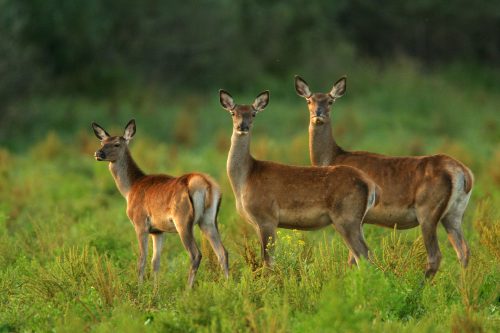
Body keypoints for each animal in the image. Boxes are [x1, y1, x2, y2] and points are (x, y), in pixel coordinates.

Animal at [92, 120, 229, 288]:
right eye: (102, 142)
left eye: (117, 144)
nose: (98, 153)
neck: (130, 189)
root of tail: (206, 184)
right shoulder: (158, 231)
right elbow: (155, 261)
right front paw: (154, 289)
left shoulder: (140, 223)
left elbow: (142, 259)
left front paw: (140, 287)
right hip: (209, 220)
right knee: (222, 252)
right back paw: (229, 285)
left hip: (183, 220)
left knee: (195, 254)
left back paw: (187, 289)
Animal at [218, 89, 378, 266]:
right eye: (233, 113)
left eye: (253, 113)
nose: (242, 126)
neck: (245, 180)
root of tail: (369, 183)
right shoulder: (256, 223)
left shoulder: (267, 217)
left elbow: (268, 262)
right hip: (355, 221)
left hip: (347, 217)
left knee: (365, 254)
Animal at [294, 76, 474, 278]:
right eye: (309, 100)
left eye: (330, 101)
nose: (318, 114)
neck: (332, 158)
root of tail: (463, 173)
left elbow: (353, 260)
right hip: (454, 213)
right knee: (464, 251)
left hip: (428, 210)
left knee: (436, 255)